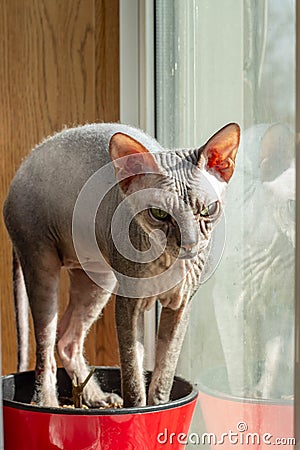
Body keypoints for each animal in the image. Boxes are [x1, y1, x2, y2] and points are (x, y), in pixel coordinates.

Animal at [2, 122, 239, 408]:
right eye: (159, 214)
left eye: (207, 210)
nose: (190, 245)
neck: (167, 263)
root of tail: (21, 168)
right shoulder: (128, 304)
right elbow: (133, 374)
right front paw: (137, 412)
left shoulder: (181, 305)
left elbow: (163, 375)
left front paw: (158, 407)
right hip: (41, 260)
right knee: (45, 350)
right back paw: (49, 404)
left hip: (98, 278)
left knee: (67, 340)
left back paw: (96, 398)